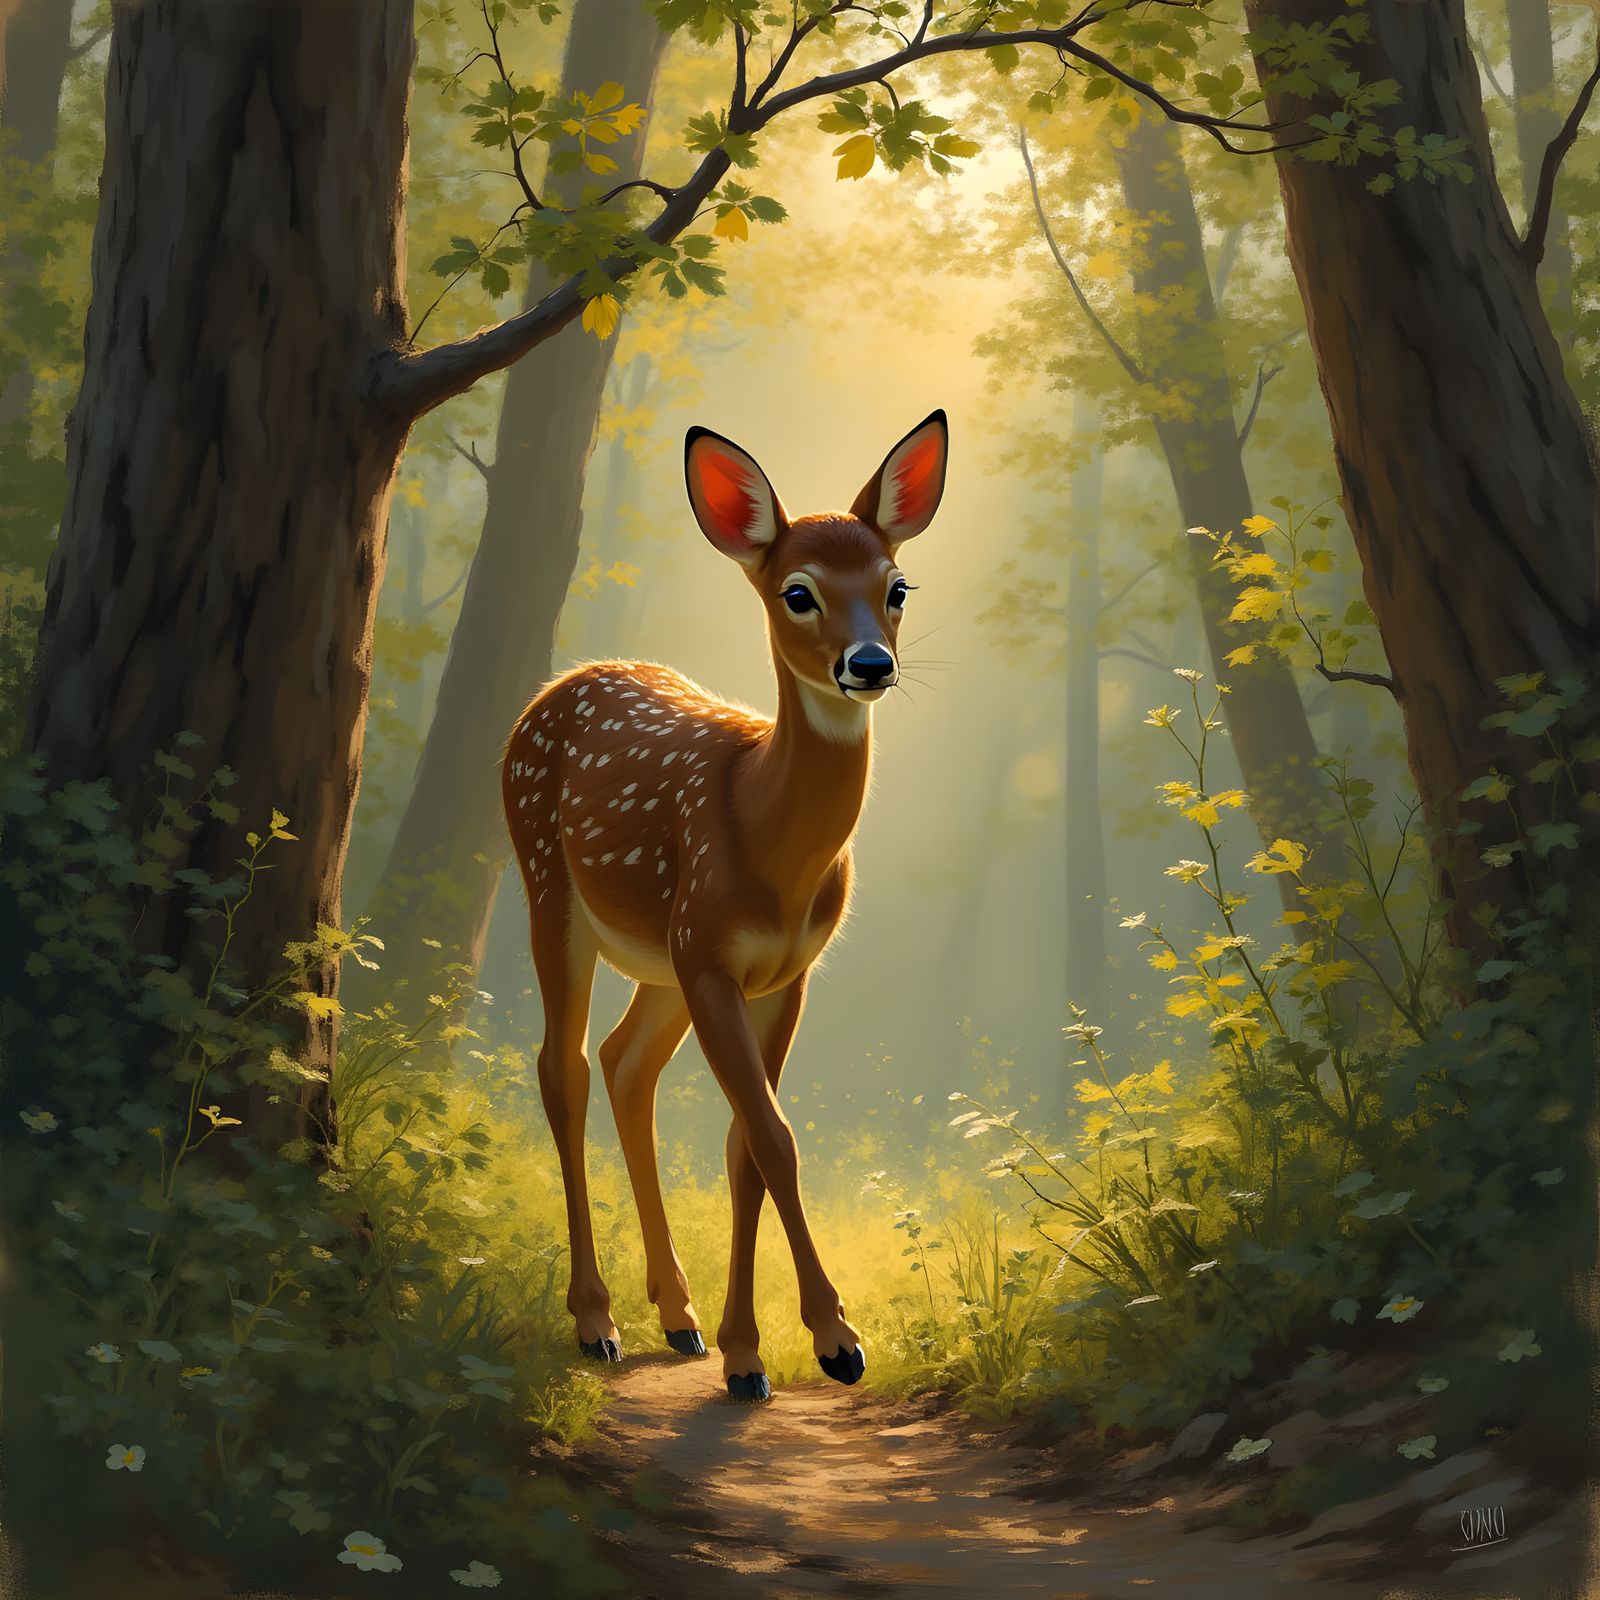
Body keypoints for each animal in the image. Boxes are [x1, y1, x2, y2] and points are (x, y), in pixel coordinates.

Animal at [502, 410, 948, 1402]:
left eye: (896, 586)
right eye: (798, 593)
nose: (870, 664)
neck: (763, 829)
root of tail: (558, 683)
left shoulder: (783, 973)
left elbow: (748, 1145)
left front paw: (749, 1350)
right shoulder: (710, 953)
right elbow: (774, 1137)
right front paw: (835, 1339)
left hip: (660, 960)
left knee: (625, 1064)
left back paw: (680, 1316)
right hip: (551, 885)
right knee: (563, 1066)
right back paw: (597, 1321)